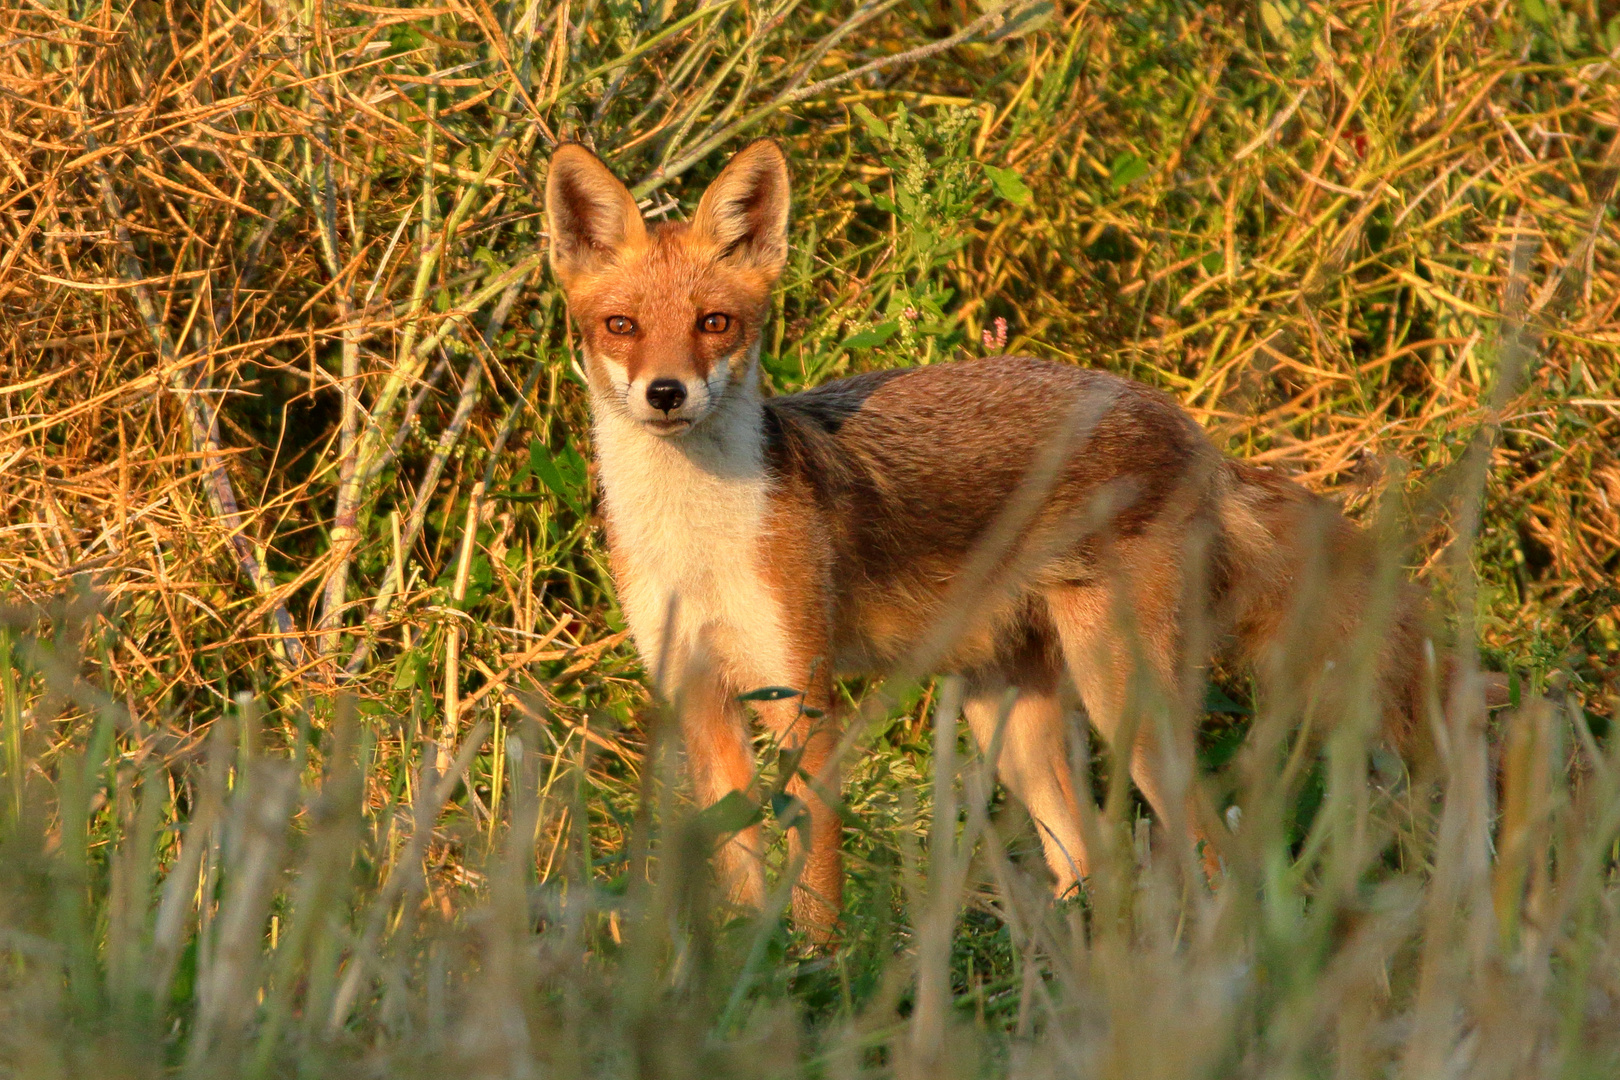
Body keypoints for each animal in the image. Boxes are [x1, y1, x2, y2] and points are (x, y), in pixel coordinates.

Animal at [550, 141, 1464, 939]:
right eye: (622, 325)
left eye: (715, 322)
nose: (667, 393)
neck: (698, 544)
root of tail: (1191, 430)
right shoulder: (698, 695)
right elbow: (737, 866)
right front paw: (747, 965)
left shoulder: (803, 695)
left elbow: (816, 874)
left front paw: (817, 966)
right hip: (1011, 720)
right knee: (1092, 864)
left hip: (1125, 702)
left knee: (1213, 848)